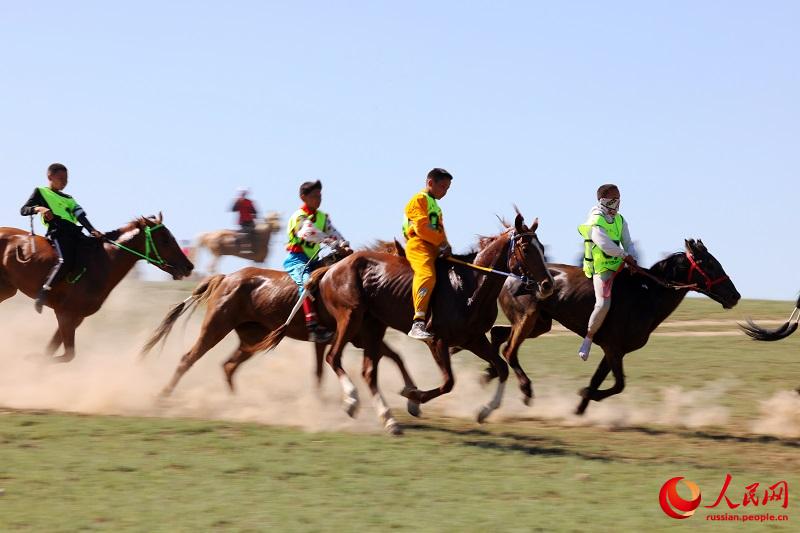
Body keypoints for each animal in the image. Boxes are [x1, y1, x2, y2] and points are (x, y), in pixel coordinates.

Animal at [0, 215, 194, 362]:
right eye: (165, 239)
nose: (189, 266)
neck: (102, 262)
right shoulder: (65, 313)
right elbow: (66, 354)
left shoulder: (76, 318)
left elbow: (53, 351)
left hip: (7, 290)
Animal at [250, 210, 556, 430]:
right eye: (527, 248)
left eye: (542, 248)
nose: (547, 284)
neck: (469, 287)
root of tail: (330, 268)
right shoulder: (437, 341)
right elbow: (448, 382)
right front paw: (413, 398)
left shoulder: (473, 339)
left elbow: (501, 368)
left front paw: (484, 410)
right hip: (350, 318)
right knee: (333, 358)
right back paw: (352, 401)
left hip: (371, 327)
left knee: (368, 371)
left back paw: (388, 418)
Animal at [484, 238, 740, 416]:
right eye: (709, 263)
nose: (735, 296)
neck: (647, 294)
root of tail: (511, 274)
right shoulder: (613, 348)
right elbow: (619, 384)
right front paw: (585, 395)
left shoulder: (614, 351)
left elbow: (599, 380)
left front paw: (580, 408)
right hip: (528, 318)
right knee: (509, 350)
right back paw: (525, 389)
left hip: (540, 323)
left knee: (497, 334)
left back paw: (489, 373)